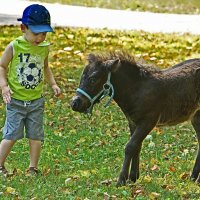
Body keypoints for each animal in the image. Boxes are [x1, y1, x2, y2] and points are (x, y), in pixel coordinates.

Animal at [71, 51, 200, 186]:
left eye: (93, 79)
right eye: (81, 77)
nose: (74, 103)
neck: (136, 90)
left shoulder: (148, 121)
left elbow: (130, 146)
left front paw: (121, 180)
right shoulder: (133, 122)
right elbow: (137, 146)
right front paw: (133, 177)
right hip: (196, 116)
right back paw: (193, 177)